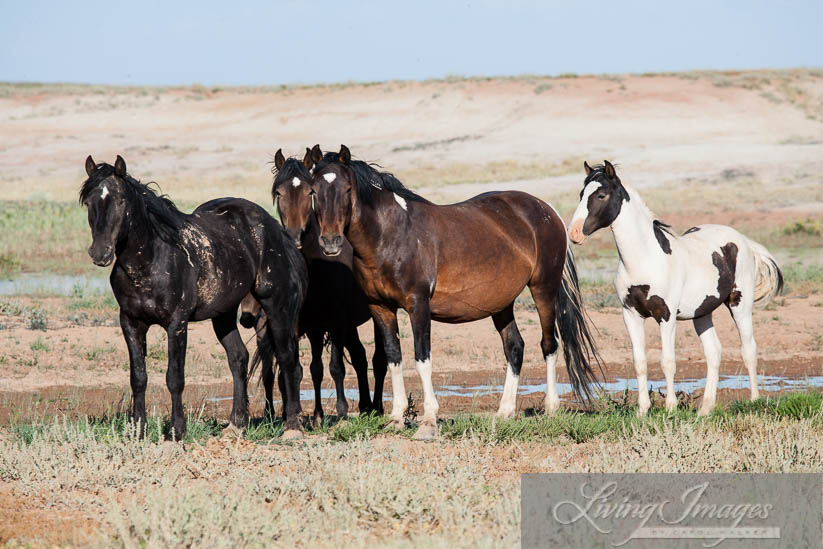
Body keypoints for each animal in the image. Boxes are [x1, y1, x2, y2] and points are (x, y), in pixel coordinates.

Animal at [81, 154, 308, 436]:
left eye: (121, 200)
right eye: (89, 202)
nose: (100, 252)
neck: (152, 260)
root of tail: (276, 228)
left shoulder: (177, 323)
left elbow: (174, 378)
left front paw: (176, 431)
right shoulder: (131, 323)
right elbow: (138, 378)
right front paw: (139, 430)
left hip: (276, 305)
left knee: (287, 359)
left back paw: (292, 426)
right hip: (223, 314)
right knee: (239, 358)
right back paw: (236, 425)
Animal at [306, 143, 600, 438]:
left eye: (347, 189)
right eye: (314, 191)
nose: (330, 242)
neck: (391, 235)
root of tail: (546, 209)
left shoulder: (418, 305)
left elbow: (422, 358)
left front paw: (428, 421)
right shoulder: (380, 308)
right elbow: (393, 358)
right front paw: (397, 417)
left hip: (543, 289)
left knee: (550, 344)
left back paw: (551, 409)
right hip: (501, 304)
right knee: (515, 348)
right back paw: (504, 412)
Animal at [568, 161, 784, 414]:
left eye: (601, 195)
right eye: (581, 194)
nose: (574, 233)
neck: (646, 259)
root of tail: (744, 241)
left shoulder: (666, 315)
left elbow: (667, 361)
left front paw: (670, 408)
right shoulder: (630, 314)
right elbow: (639, 362)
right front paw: (642, 411)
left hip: (740, 304)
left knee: (748, 349)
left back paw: (754, 400)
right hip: (702, 313)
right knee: (714, 352)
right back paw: (705, 409)